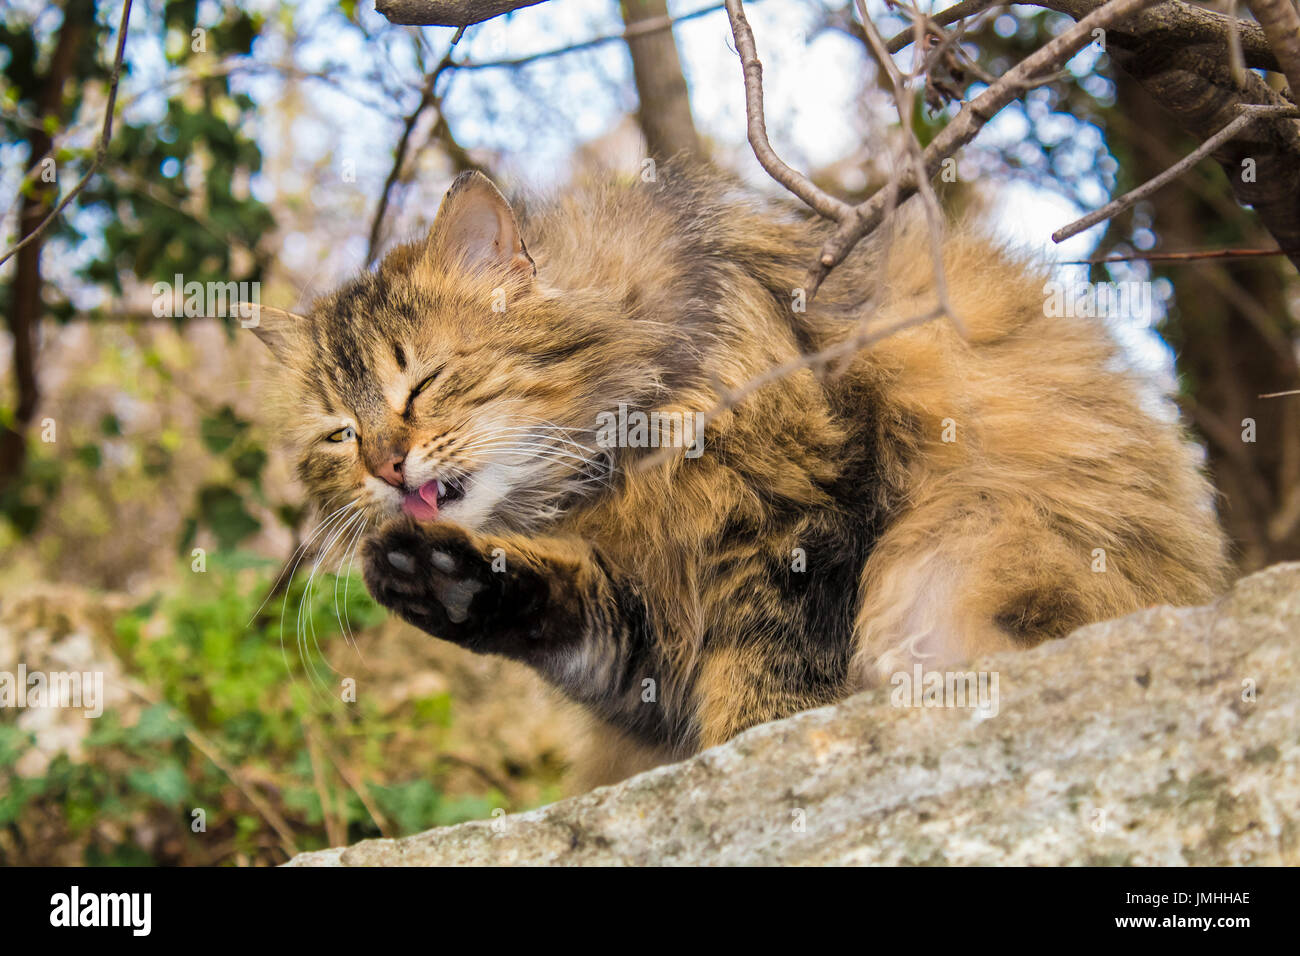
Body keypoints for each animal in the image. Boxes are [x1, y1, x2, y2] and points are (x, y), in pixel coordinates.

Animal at [250, 164, 1227, 780]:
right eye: (339, 434)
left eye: (424, 382)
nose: (384, 467)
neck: (611, 480)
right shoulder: (645, 639)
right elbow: (576, 623)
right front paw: (442, 580)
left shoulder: (799, 529)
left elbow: (771, 685)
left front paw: (761, 750)